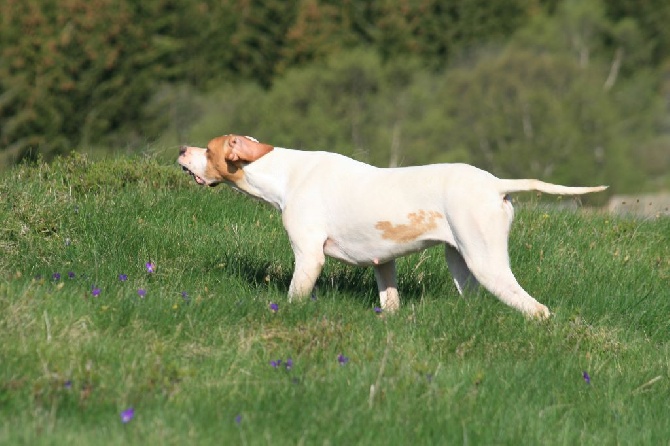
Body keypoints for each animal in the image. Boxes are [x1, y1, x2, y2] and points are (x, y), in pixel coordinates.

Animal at [178, 134, 608, 318]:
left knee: (537, 309)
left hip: (488, 264)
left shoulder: (309, 257)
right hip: (461, 264)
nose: (181, 149)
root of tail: (495, 183)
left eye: (208, 149)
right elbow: (390, 301)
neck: (287, 174)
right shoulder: (383, 263)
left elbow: (294, 296)